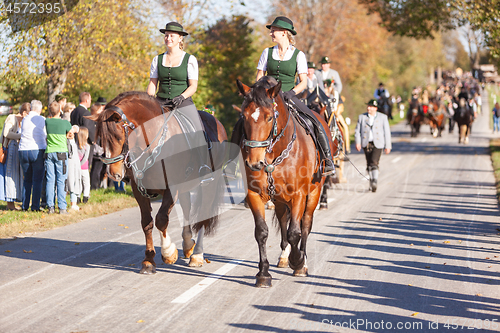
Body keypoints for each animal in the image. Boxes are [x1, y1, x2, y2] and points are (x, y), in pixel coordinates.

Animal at [87, 90, 228, 272]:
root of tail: (215, 120)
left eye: (118, 137)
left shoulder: (171, 188)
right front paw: (148, 261)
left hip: (209, 183)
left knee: (203, 214)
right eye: (100, 139)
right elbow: (146, 222)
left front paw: (168, 253)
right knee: (187, 209)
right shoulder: (138, 190)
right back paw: (188, 245)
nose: (114, 174)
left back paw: (197, 255)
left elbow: (161, 220)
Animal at [236, 76, 334, 286]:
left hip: (313, 193)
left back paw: (301, 262)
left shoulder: (298, 195)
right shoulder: (254, 194)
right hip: (279, 198)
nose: (254, 162)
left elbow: (295, 232)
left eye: (269, 117)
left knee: (305, 224)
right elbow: (262, 232)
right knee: (282, 220)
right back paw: (283, 256)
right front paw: (263, 273)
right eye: (244, 116)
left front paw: (297, 261)